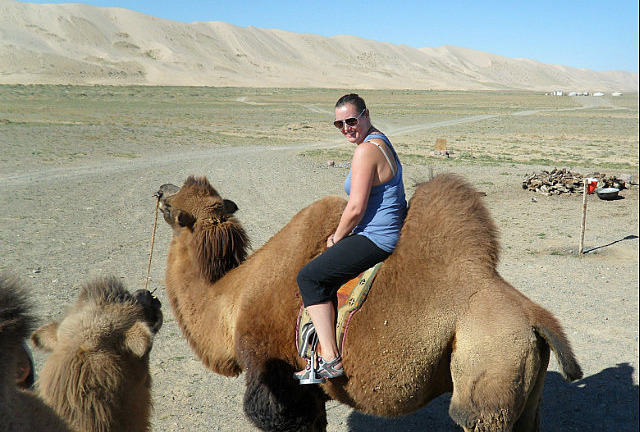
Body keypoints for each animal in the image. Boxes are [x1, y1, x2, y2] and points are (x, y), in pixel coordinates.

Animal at [156, 173, 583, 432]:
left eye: (174, 208)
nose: (160, 189)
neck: (231, 298)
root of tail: (534, 317)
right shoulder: (307, 385)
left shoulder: (272, 372)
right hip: (525, 386)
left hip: (486, 377)